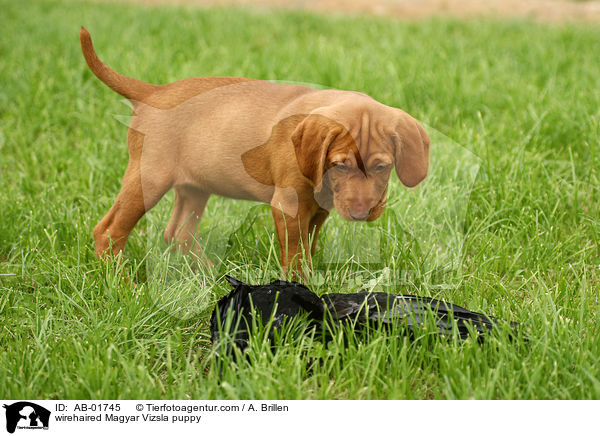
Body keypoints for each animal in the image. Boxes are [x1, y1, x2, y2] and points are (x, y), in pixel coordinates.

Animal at [81, 27, 432, 272]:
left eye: (382, 167)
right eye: (340, 165)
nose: (361, 214)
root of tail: (154, 92)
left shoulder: (317, 211)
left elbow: (309, 249)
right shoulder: (289, 207)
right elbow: (296, 258)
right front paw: (303, 290)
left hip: (195, 186)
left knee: (178, 234)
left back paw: (210, 274)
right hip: (149, 179)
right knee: (108, 231)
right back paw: (122, 283)